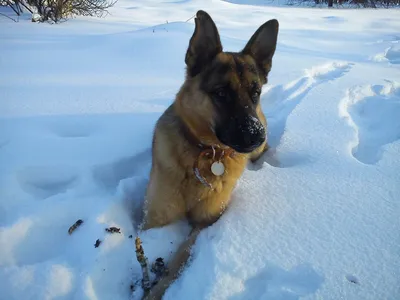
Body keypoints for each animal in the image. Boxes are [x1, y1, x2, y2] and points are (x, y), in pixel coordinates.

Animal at [139, 9, 280, 300]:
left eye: (255, 92)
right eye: (221, 93)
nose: (256, 134)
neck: (204, 153)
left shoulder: (205, 224)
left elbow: (181, 258)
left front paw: (159, 288)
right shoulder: (153, 219)